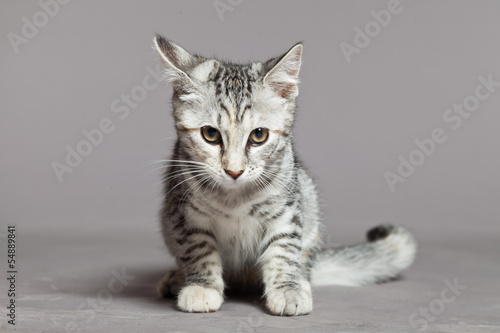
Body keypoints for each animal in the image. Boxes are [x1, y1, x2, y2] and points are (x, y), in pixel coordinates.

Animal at [153, 35, 418, 316]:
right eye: (210, 134)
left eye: (259, 135)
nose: (234, 170)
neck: (234, 198)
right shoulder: (185, 213)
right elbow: (199, 250)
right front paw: (202, 287)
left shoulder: (287, 211)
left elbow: (283, 250)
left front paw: (288, 289)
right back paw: (178, 278)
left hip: (309, 207)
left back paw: (302, 282)